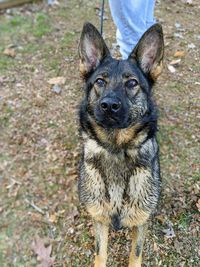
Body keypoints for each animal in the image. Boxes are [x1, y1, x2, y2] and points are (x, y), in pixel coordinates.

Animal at [78, 22, 164, 266]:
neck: (116, 149)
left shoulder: (141, 221)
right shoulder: (99, 220)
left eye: (132, 82)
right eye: (100, 81)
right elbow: (100, 254)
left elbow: (136, 254)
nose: (109, 105)